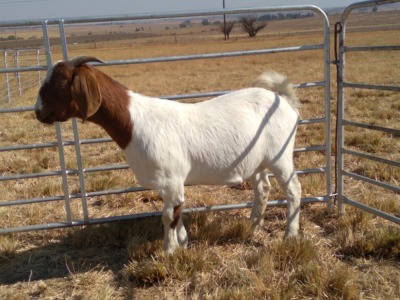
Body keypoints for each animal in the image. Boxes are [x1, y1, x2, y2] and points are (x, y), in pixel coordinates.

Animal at [36, 55, 302, 253]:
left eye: (61, 82)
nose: (38, 112)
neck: (134, 122)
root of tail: (283, 99)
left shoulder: (171, 178)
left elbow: (168, 216)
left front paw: (169, 251)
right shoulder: (169, 183)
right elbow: (176, 211)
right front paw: (183, 243)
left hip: (280, 156)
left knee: (293, 190)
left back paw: (290, 235)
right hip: (258, 162)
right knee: (263, 189)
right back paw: (253, 227)